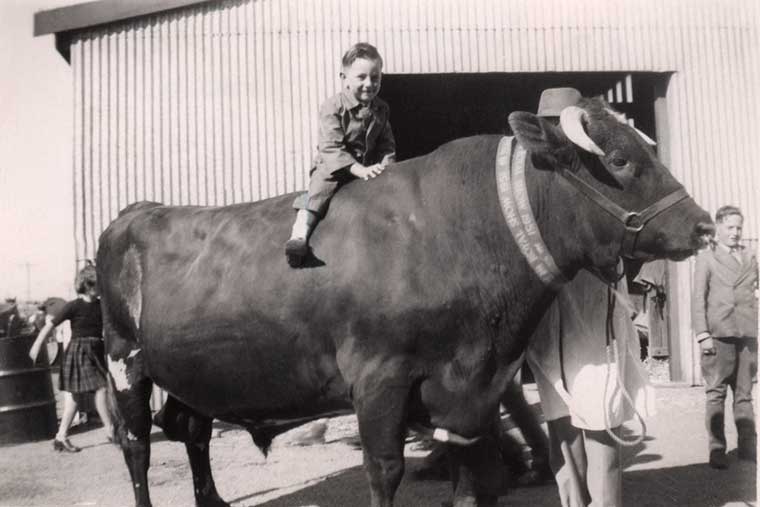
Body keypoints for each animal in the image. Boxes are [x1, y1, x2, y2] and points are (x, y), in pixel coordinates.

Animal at [96, 96, 712, 507]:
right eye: (620, 160)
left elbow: (475, 480)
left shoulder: (474, 391)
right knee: (137, 443)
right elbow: (385, 470)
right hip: (126, 361)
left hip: (194, 370)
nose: (704, 225)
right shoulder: (379, 380)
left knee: (192, 431)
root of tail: (137, 209)